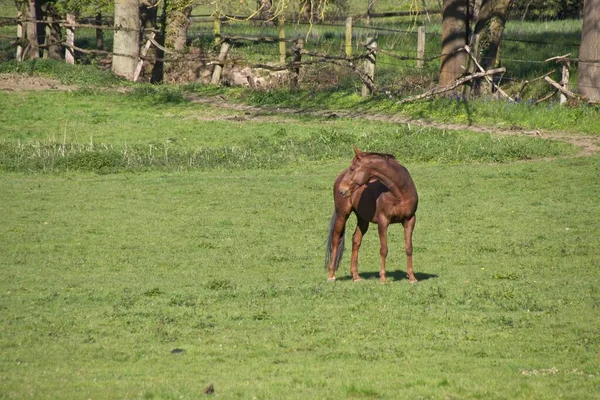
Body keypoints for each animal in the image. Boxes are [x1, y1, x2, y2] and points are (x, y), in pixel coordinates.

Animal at [326, 145, 420, 282]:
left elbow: (409, 248)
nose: (342, 190)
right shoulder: (383, 221)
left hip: (363, 220)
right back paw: (331, 275)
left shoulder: (409, 220)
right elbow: (384, 249)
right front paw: (383, 278)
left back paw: (356, 276)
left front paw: (412, 278)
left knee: (356, 241)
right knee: (336, 239)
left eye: (353, 168)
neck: (400, 193)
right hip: (342, 215)